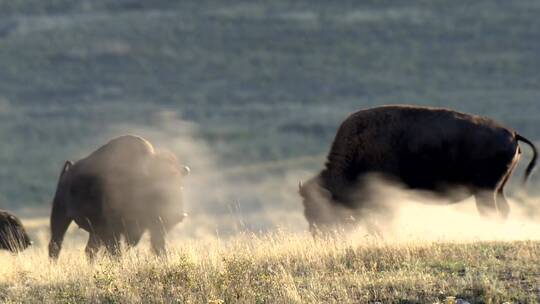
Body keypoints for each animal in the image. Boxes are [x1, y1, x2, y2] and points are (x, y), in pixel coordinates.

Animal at [48, 135, 191, 258]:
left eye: (180, 186)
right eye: (157, 188)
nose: (178, 215)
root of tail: (68, 171)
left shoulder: (152, 228)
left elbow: (159, 247)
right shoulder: (114, 229)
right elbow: (115, 251)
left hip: (94, 231)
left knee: (90, 250)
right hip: (60, 215)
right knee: (56, 244)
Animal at [300, 105, 536, 235]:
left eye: (319, 209)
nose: (318, 235)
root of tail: (512, 133)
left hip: (485, 192)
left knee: (492, 213)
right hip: (497, 190)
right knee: (504, 211)